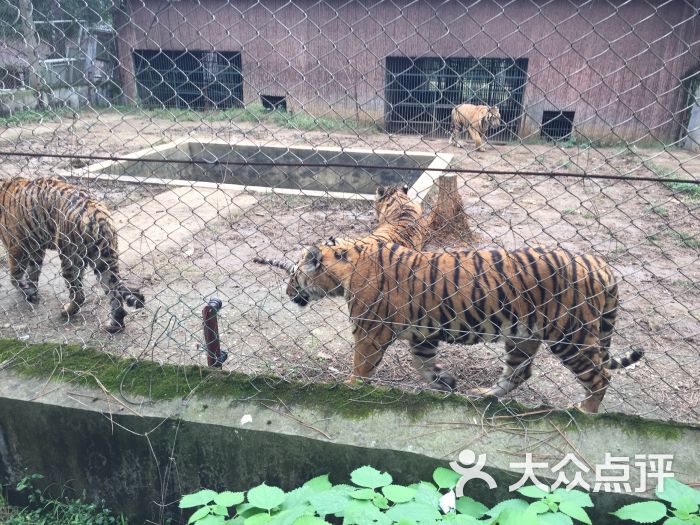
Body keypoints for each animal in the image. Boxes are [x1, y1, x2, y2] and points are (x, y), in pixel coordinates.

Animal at [0, 176, 145, 332]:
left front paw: (25, 289)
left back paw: (66, 312)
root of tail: (98, 216)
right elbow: (33, 270)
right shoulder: (36, 247)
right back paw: (114, 325)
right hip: (103, 260)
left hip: (69, 257)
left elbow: (16, 274)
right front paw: (31, 291)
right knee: (114, 295)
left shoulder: (16, 245)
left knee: (79, 295)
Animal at [254, 235, 644, 412]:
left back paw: (586, 412)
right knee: (519, 372)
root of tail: (600, 264)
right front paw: (446, 382)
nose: (287, 291)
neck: (346, 268)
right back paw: (484, 395)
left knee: (599, 376)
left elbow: (361, 366)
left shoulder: (370, 331)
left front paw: (349, 389)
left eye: (293, 275)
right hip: (523, 336)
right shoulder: (420, 334)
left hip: (569, 335)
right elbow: (423, 364)